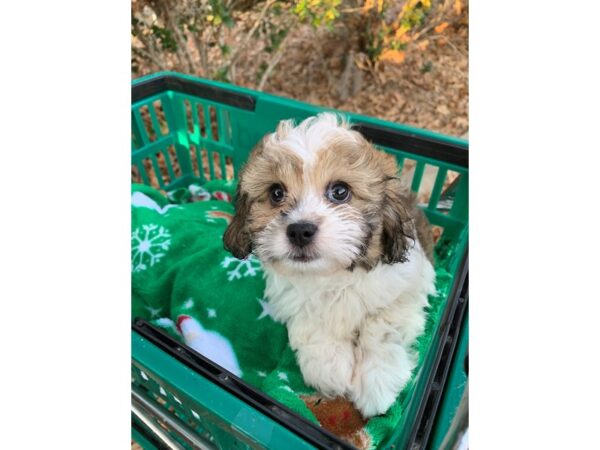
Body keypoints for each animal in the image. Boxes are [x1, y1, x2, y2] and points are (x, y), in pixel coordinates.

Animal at [223, 113, 434, 418]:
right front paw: (330, 368)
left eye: (340, 191)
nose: (300, 230)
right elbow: (314, 323)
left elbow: (381, 326)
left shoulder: (409, 287)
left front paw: (377, 382)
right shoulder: (292, 299)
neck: (333, 275)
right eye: (276, 192)